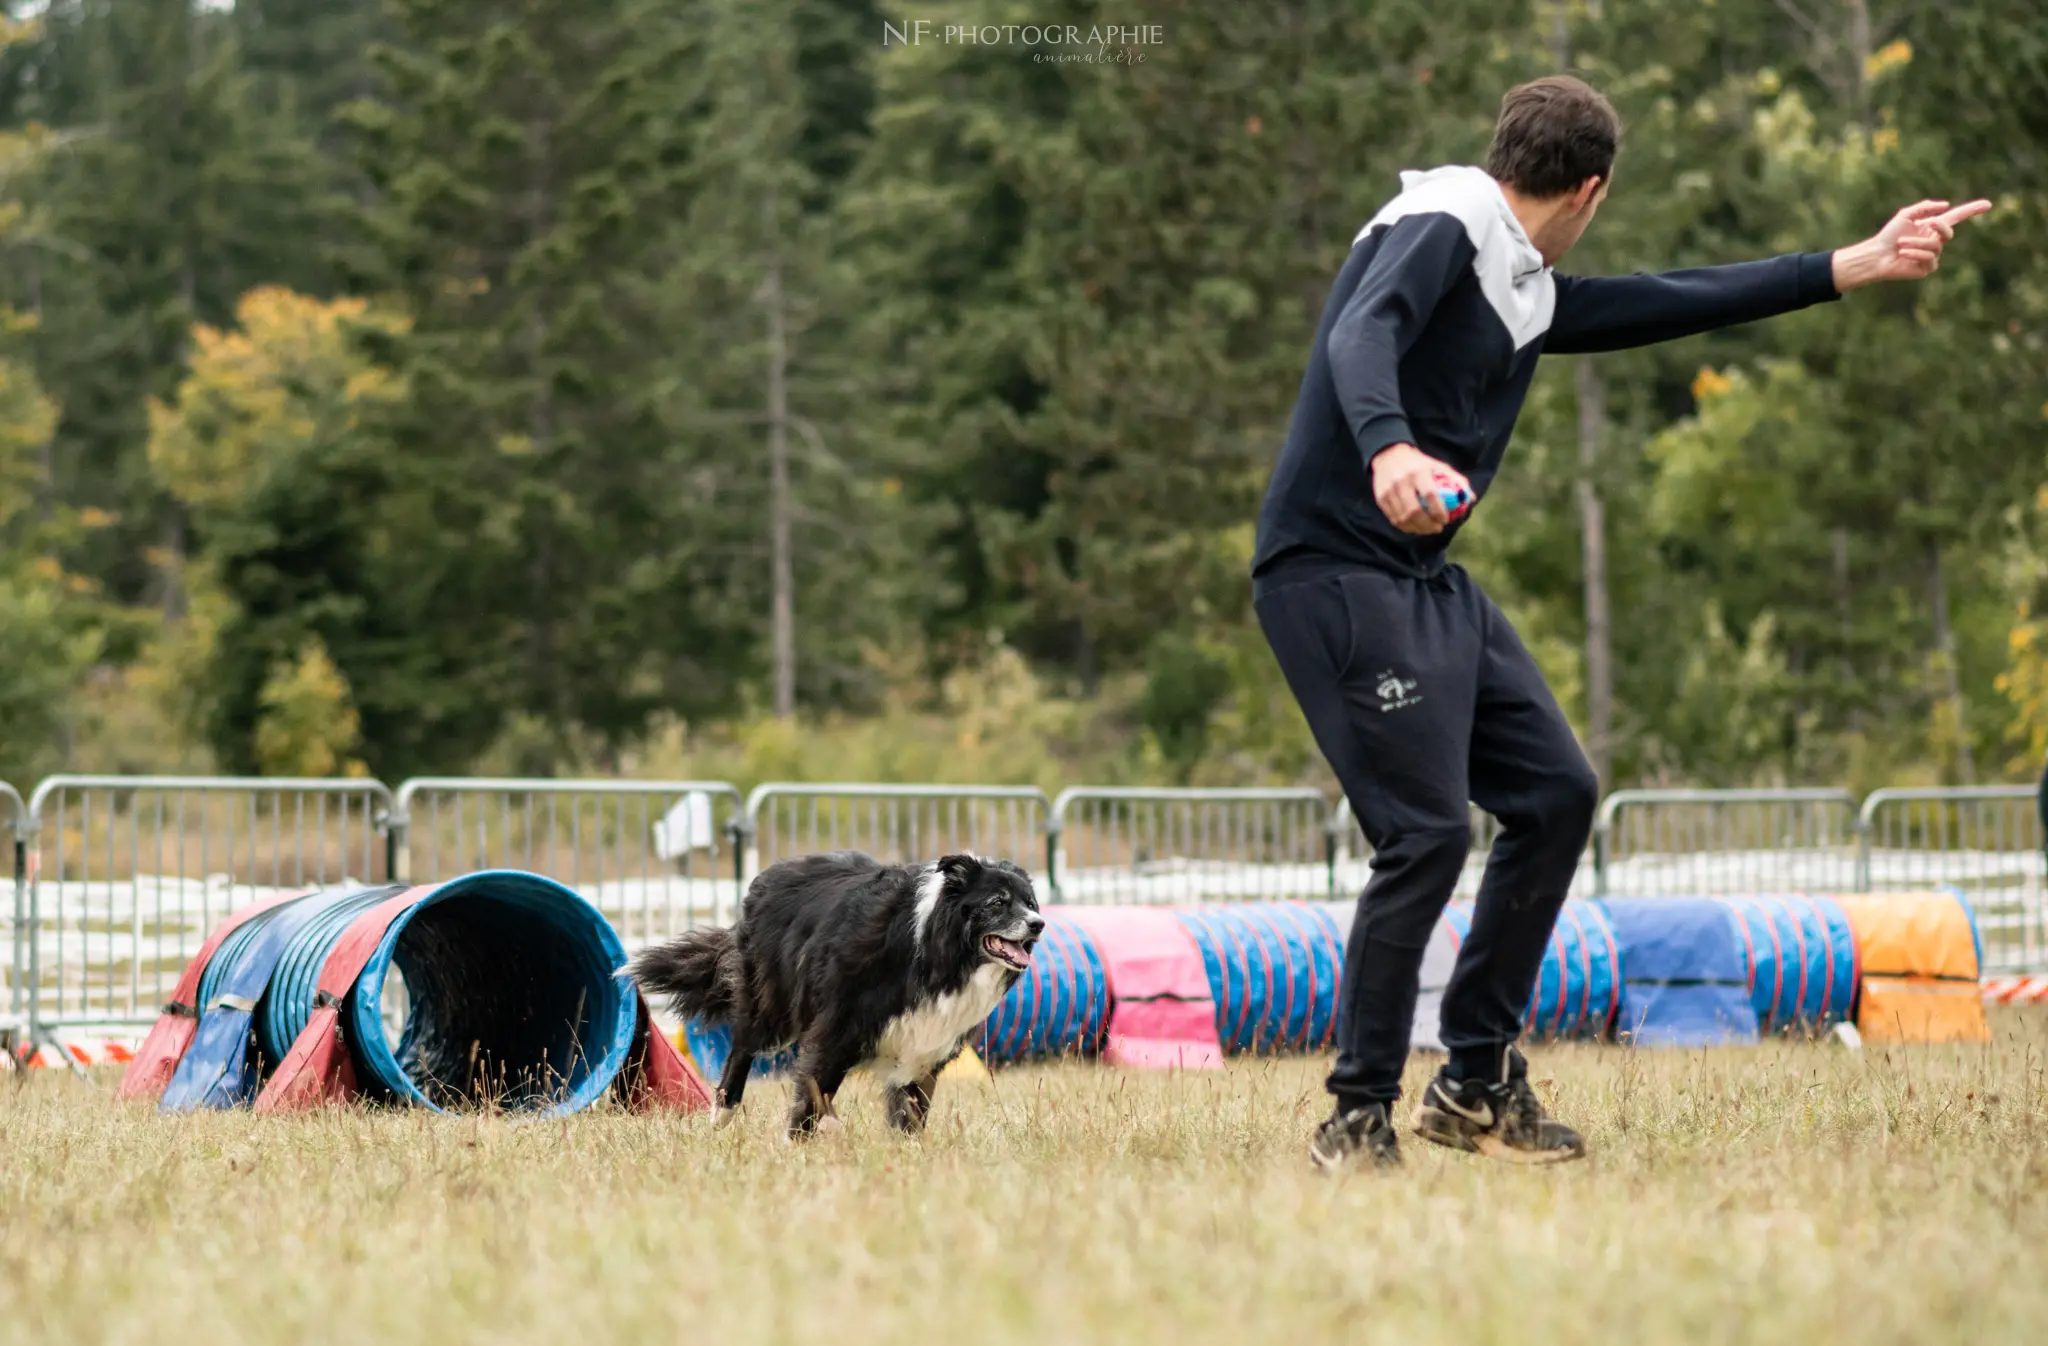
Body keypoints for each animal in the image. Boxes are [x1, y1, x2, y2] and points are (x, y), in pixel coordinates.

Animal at [626, 852, 1048, 1130]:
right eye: (997, 902)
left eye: (1030, 903)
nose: (1039, 924)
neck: (936, 951)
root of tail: (773, 872)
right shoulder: (837, 1031)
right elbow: (811, 1094)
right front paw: (795, 1148)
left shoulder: (923, 1045)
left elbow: (910, 1113)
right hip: (770, 1004)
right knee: (741, 1048)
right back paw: (722, 1114)